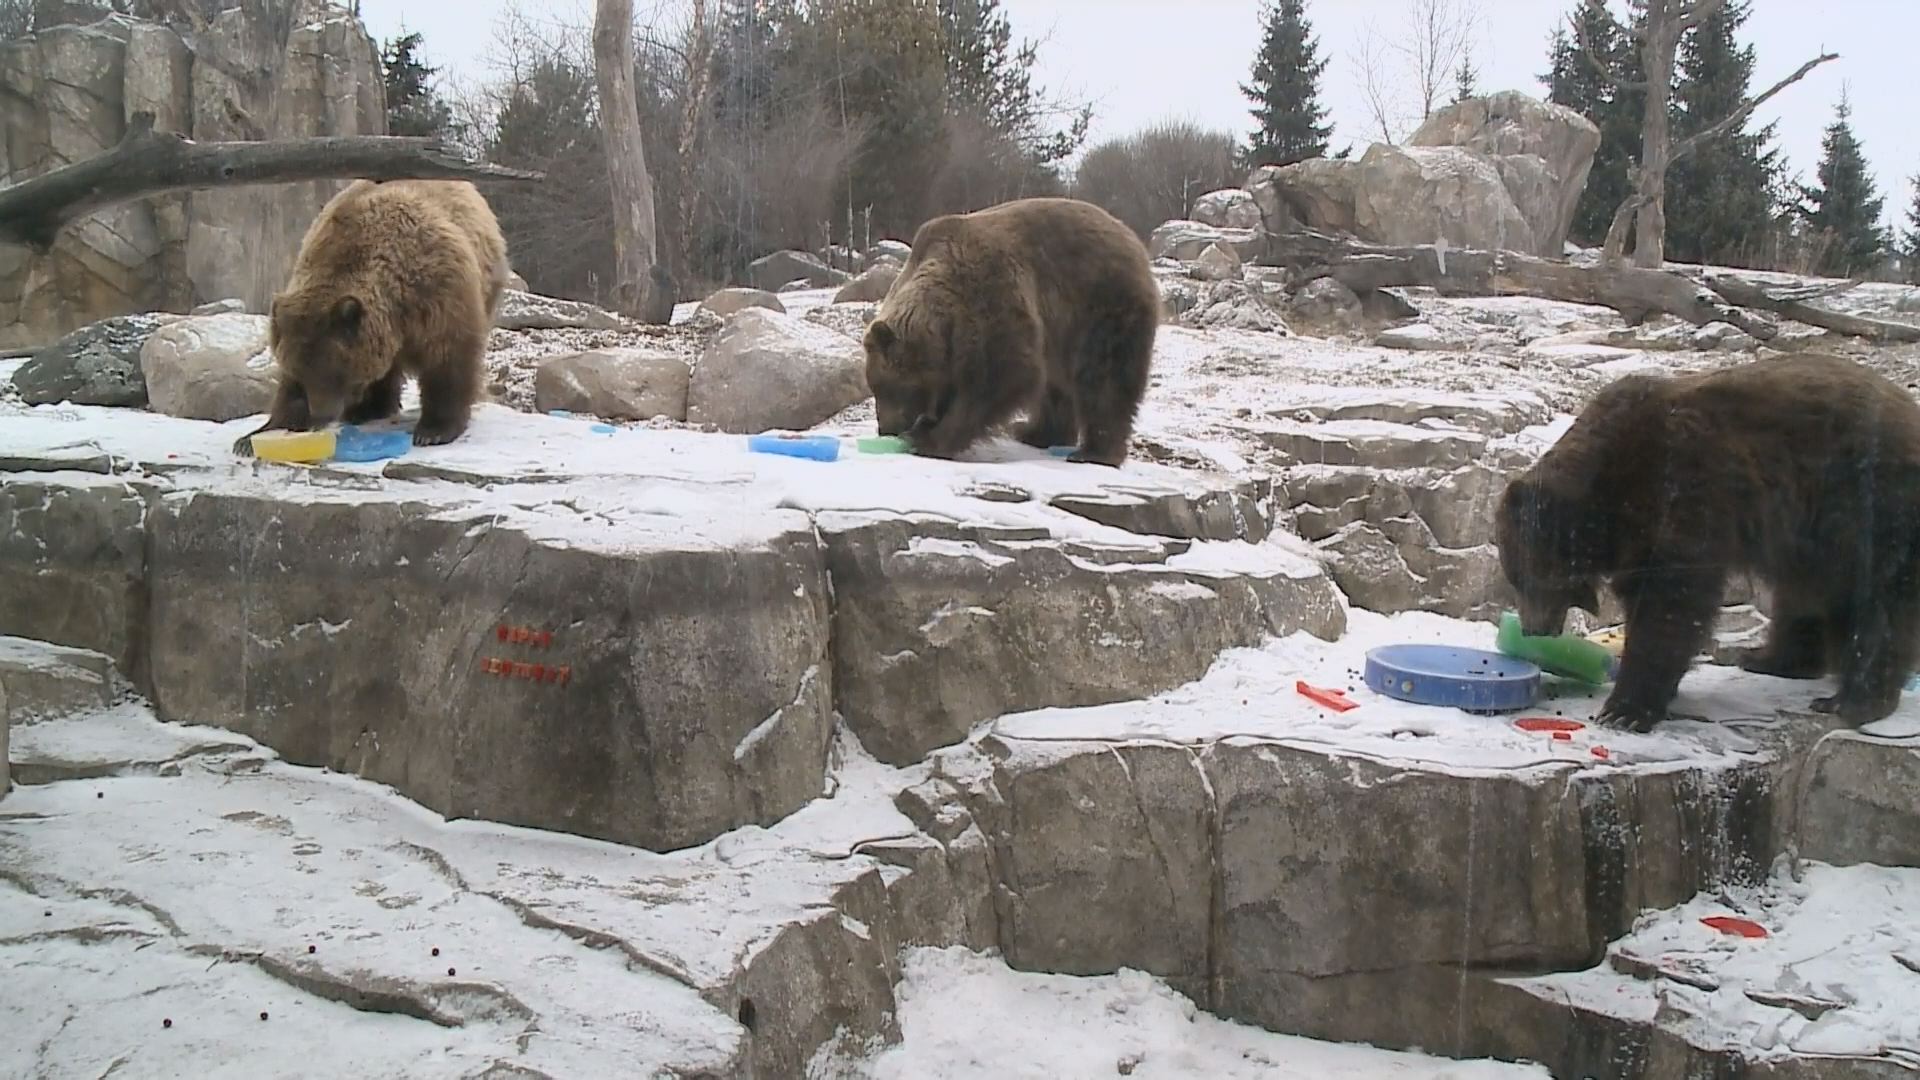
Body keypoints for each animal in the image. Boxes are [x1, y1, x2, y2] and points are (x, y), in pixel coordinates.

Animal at [233, 178, 510, 454]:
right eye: (301, 370)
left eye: (334, 370)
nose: (321, 415)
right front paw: (253, 437)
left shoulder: (437, 297)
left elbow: (447, 359)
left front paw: (434, 430)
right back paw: (368, 408)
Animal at [860, 196, 1159, 467]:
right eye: (875, 387)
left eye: (887, 388)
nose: (886, 428)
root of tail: (1132, 239)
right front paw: (927, 427)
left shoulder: (989, 294)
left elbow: (1003, 372)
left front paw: (931, 439)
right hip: (1060, 333)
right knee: (1056, 385)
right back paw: (1035, 432)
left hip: (1103, 306)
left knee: (1105, 378)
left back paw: (1093, 452)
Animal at [1495, 353, 1920, 732]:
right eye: (1514, 579)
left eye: (1526, 579)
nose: (1532, 628)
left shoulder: (1685, 487)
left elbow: (1672, 601)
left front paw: (1625, 709)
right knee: (1806, 592)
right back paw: (1769, 657)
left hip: (1868, 502)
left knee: (1879, 601)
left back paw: (1854, 700)